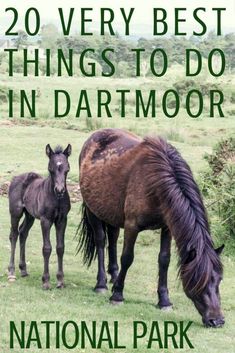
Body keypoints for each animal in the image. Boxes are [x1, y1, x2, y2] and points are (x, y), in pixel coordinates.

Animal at [8, 143, 71, 288]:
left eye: (67, 169)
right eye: (51, 169)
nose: (60, 190)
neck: (56, 199)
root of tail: (15, 178)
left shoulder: (62, 220)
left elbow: (60, 247)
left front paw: (60, 281)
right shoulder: (45, 220)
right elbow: (47, 248)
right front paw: (46, 281)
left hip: (29, 215)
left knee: (23, 233)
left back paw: (23, 269)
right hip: (15, 212)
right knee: (14, 235)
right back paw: (11, 270)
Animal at [78, 129, 225, 328]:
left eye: (219, 280)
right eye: (198, 281)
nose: (217, 320)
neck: (156, 181)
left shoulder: (167, 228)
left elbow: (164, 260)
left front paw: (164, 301)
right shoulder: (132, 226)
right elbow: (127, 258)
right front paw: (117, 295)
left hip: (112, 213)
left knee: (113, 239)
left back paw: (114, 276)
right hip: (93, 210)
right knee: (101, 241)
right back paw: (101, 284)